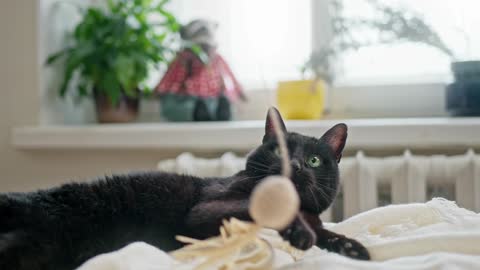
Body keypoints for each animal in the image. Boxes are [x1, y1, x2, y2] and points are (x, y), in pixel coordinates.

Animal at [0, 108, 370, 270]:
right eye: (278, 150)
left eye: (313, 160)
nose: (293, 165)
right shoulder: (206, 212)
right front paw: (301, 232)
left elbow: (322, 229)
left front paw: (351, 248)